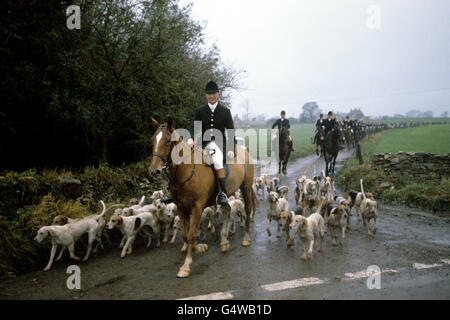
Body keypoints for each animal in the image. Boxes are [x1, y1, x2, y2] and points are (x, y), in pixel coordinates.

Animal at [148, 117, 253, 278]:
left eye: (167, 140)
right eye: (153, 139)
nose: (154, 171)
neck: (186, 171)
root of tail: (244, 150)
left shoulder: (197, 208)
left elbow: (191, 235)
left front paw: (186, 266)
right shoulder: (182, 209)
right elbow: (186, 235)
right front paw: (199, 248)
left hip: (246, 188)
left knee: (247, 210)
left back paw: (246, 239)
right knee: (228, 210)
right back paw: (224, 242)